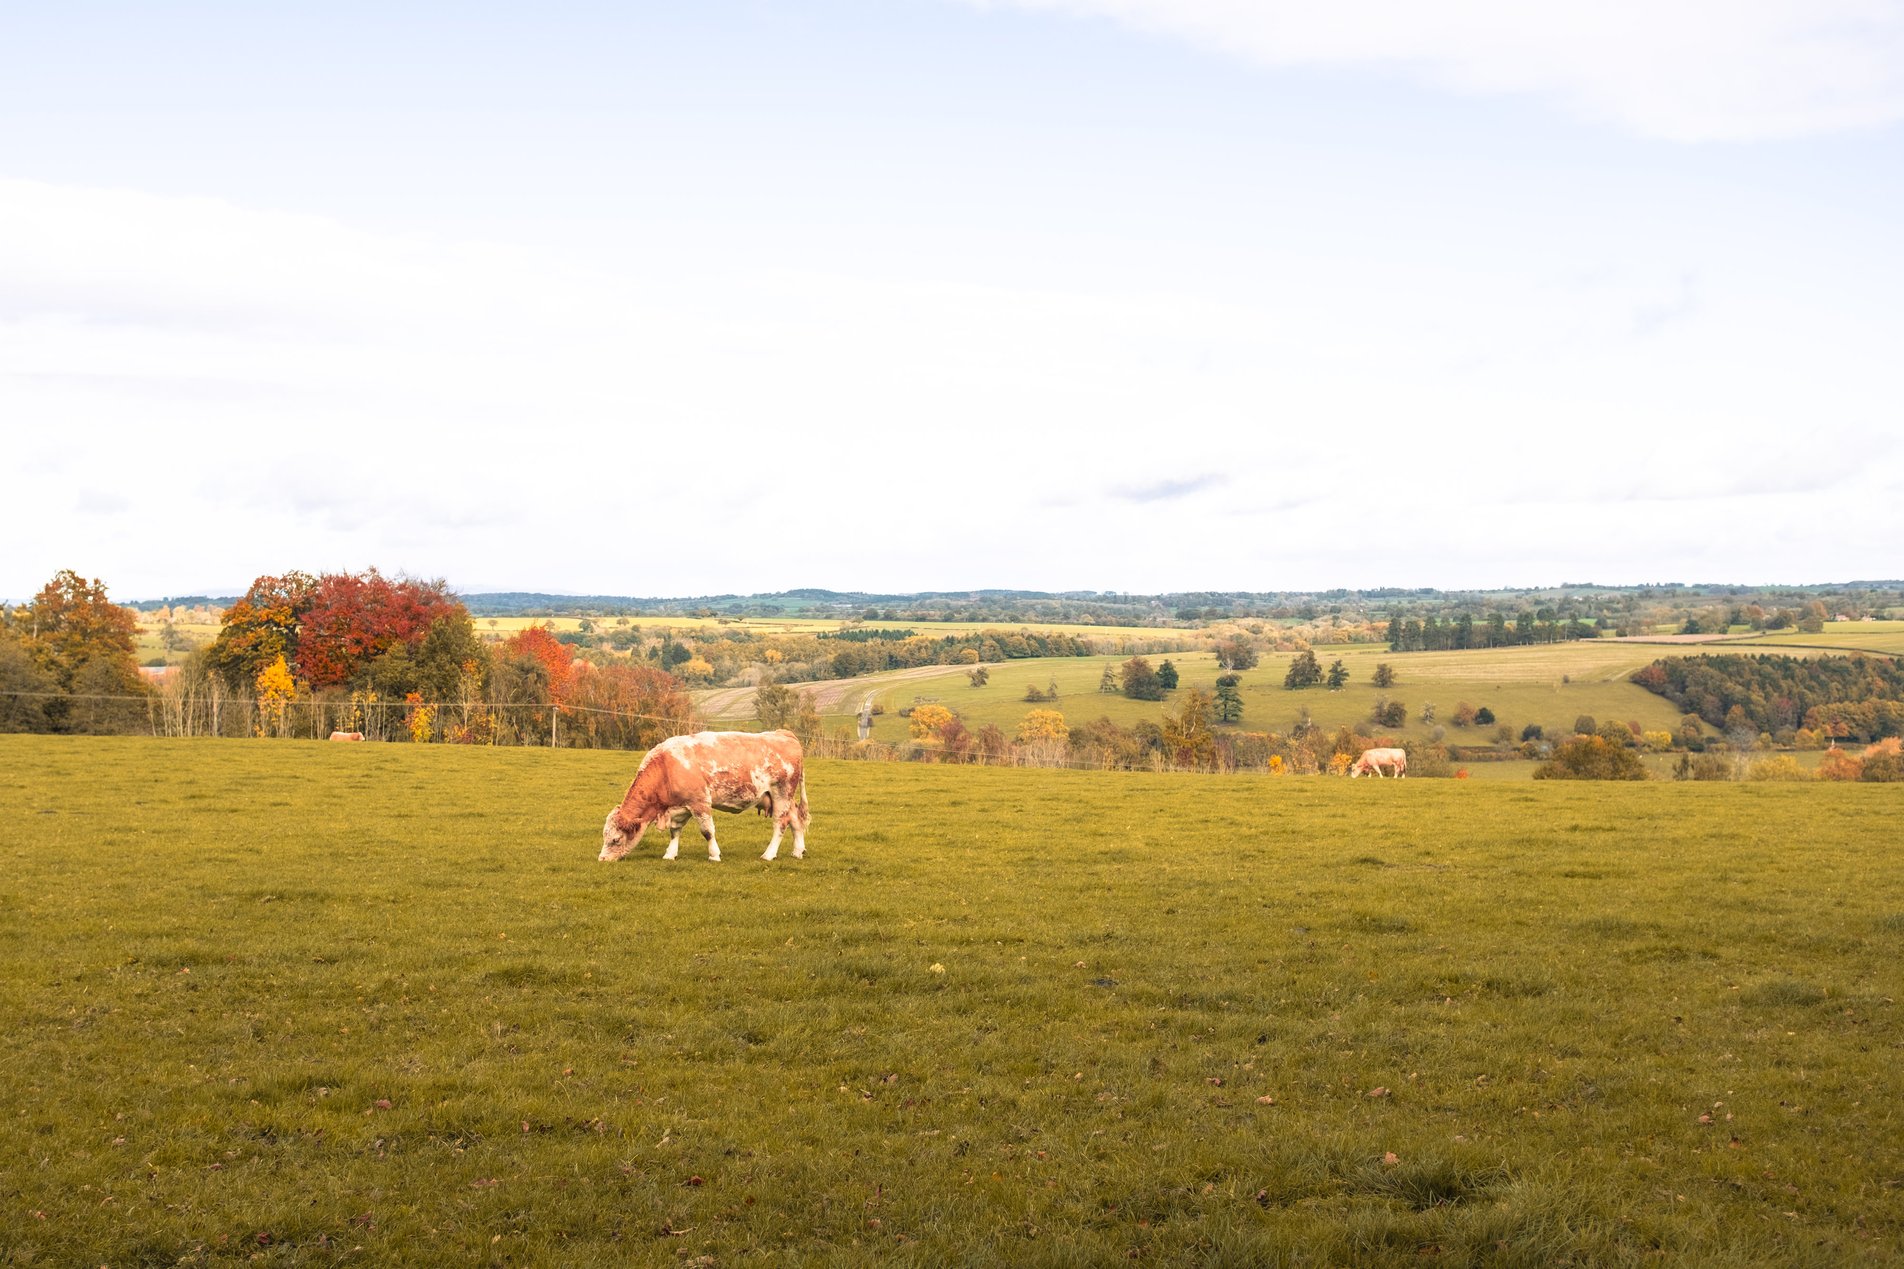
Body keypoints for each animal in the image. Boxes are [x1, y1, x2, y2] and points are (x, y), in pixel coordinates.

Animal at [600, 730, 810, 863]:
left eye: (615, 839)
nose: (602, 859)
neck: (666, 767)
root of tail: (783, 733)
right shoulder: (680, 806)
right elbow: (675, 831)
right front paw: (670, 854)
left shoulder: (699, 802)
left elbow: (707, 831)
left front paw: (714, 855)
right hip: (781, 798)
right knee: (795, 820)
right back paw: (797, 852)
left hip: (782, 793)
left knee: (780, 823)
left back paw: (769, 854)